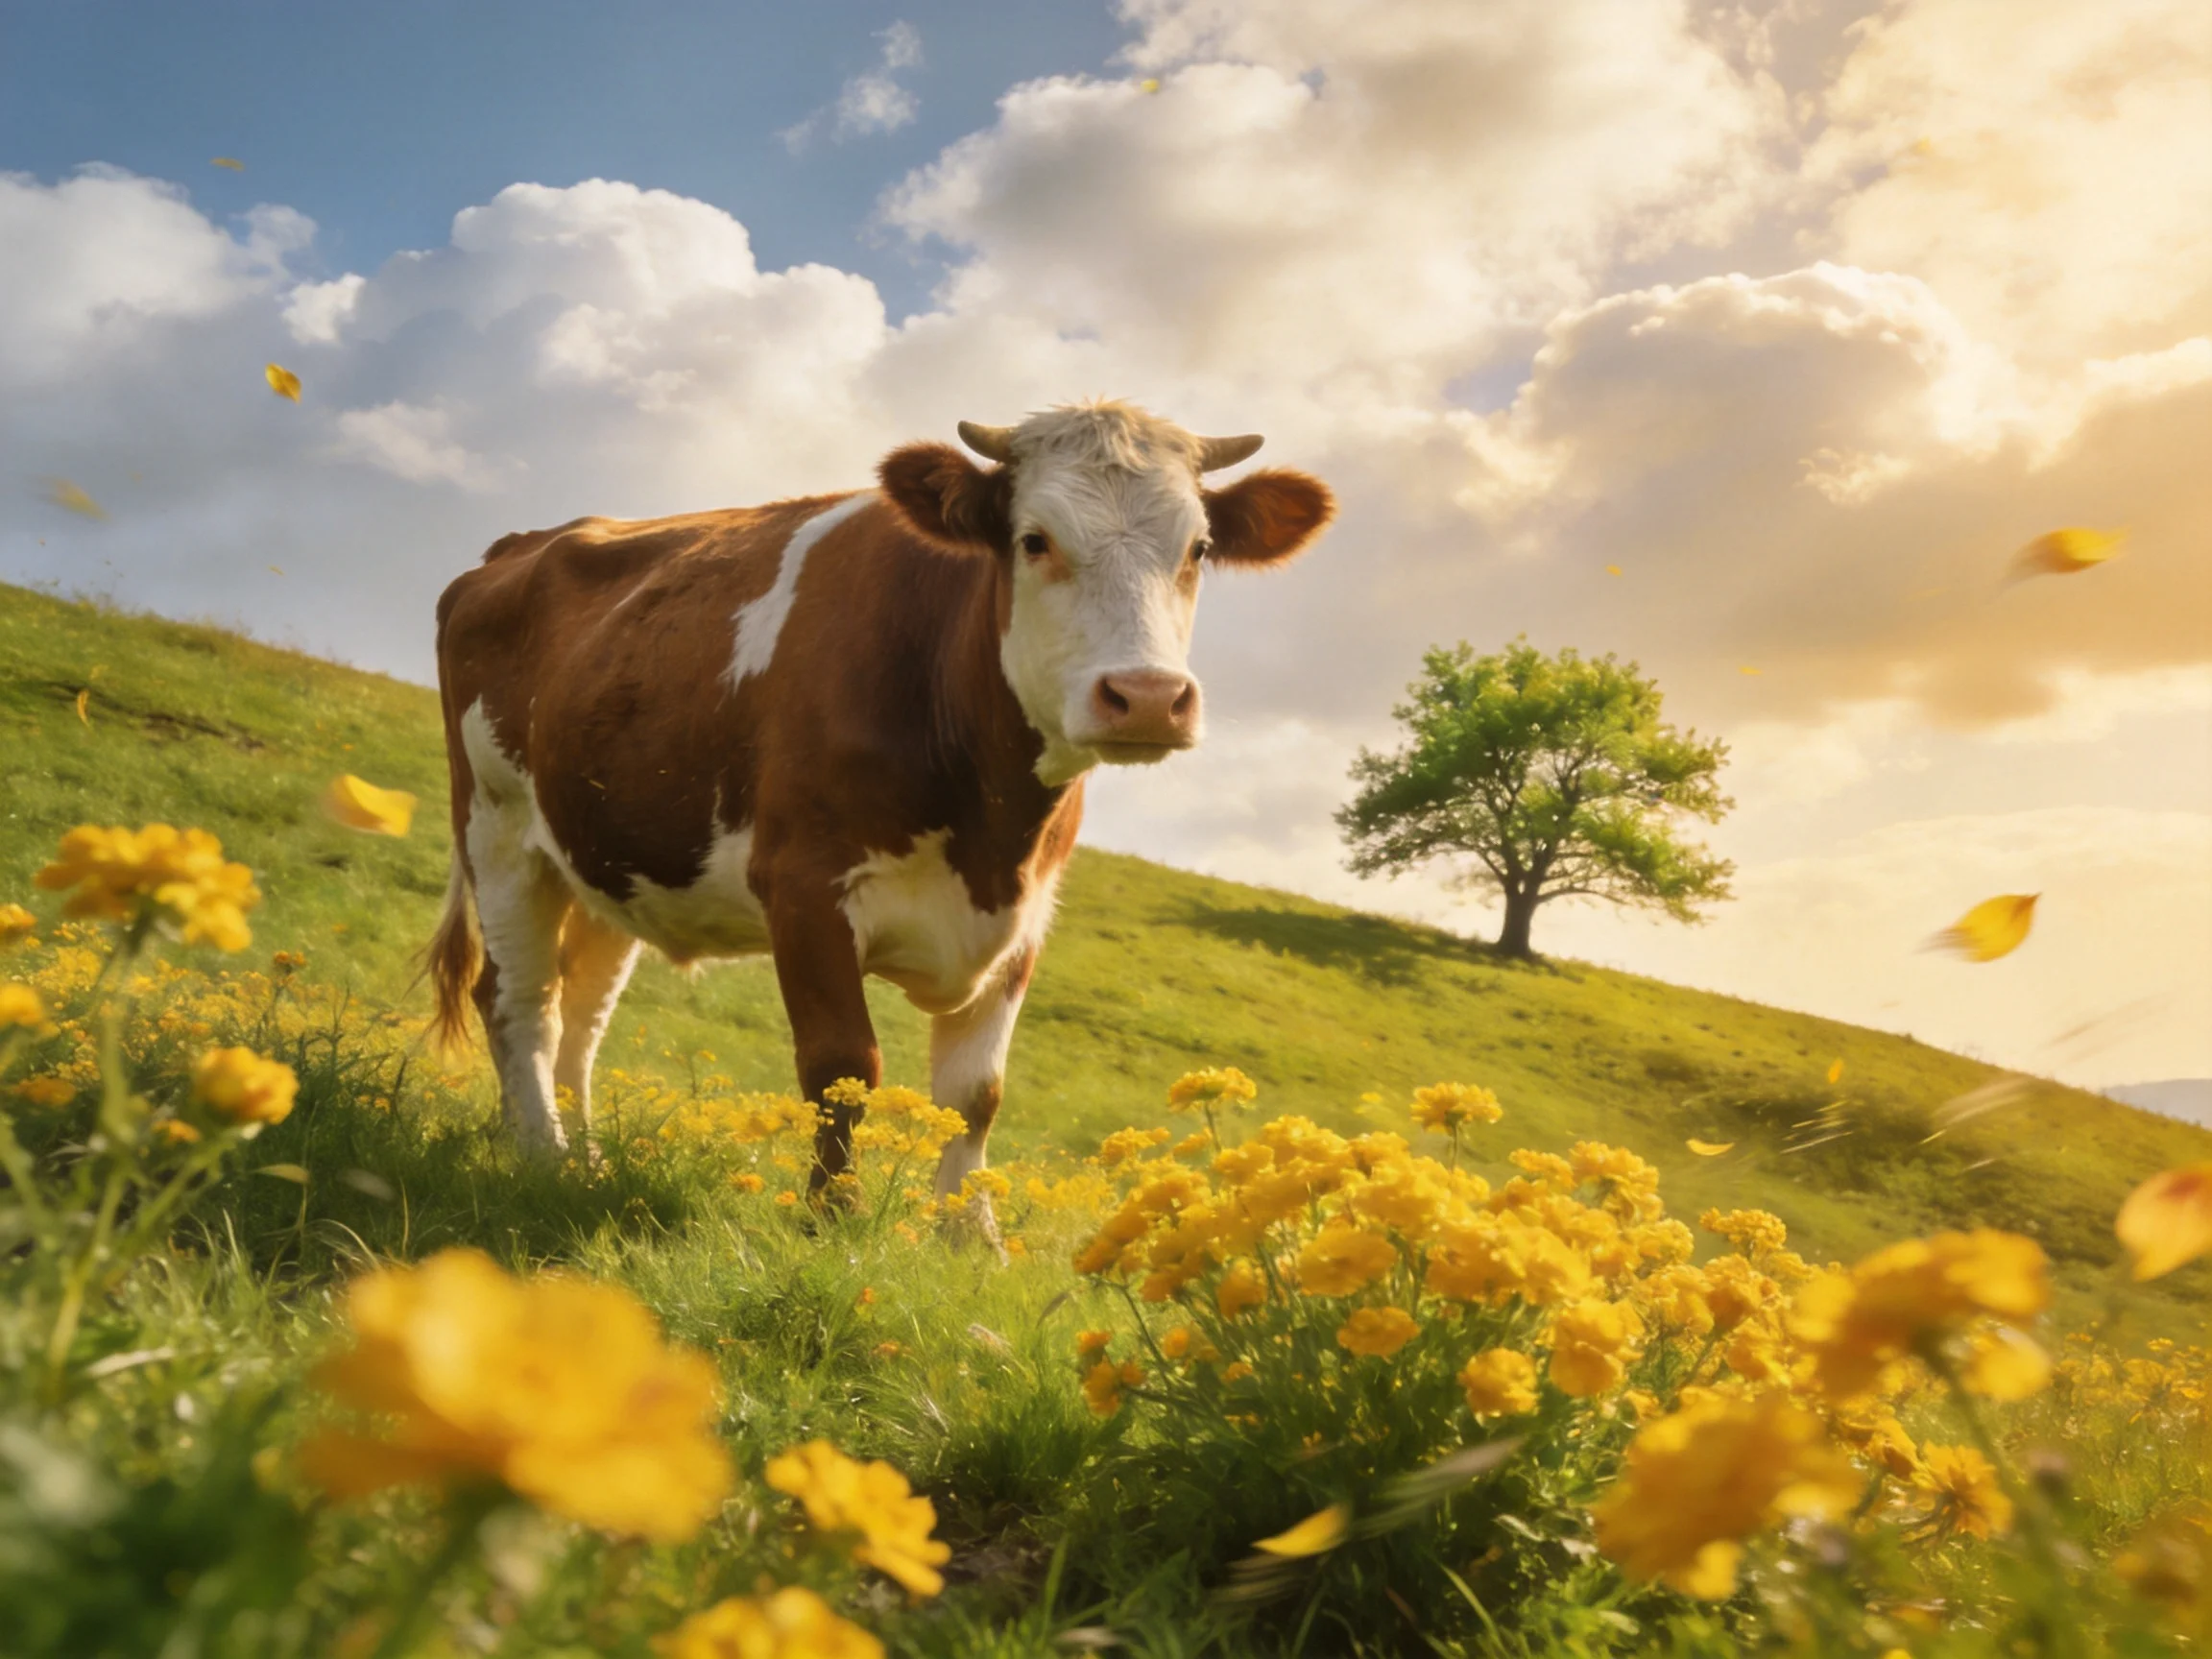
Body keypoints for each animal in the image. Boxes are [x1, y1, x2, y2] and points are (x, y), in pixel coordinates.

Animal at [426, 400, 1333, 1238]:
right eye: (1034, 540)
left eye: (1199, 549)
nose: (1146, 697)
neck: (990, 826)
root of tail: (521, 544)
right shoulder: (805, 886)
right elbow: (842, 1066)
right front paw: (833, 1218)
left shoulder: (1028, 916)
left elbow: (976, 1094)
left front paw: (971, 1240)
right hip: (497, 830)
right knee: (517, 998)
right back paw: (542, 1155)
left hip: (608, 857)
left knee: (581, 1012)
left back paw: (582, 1160)